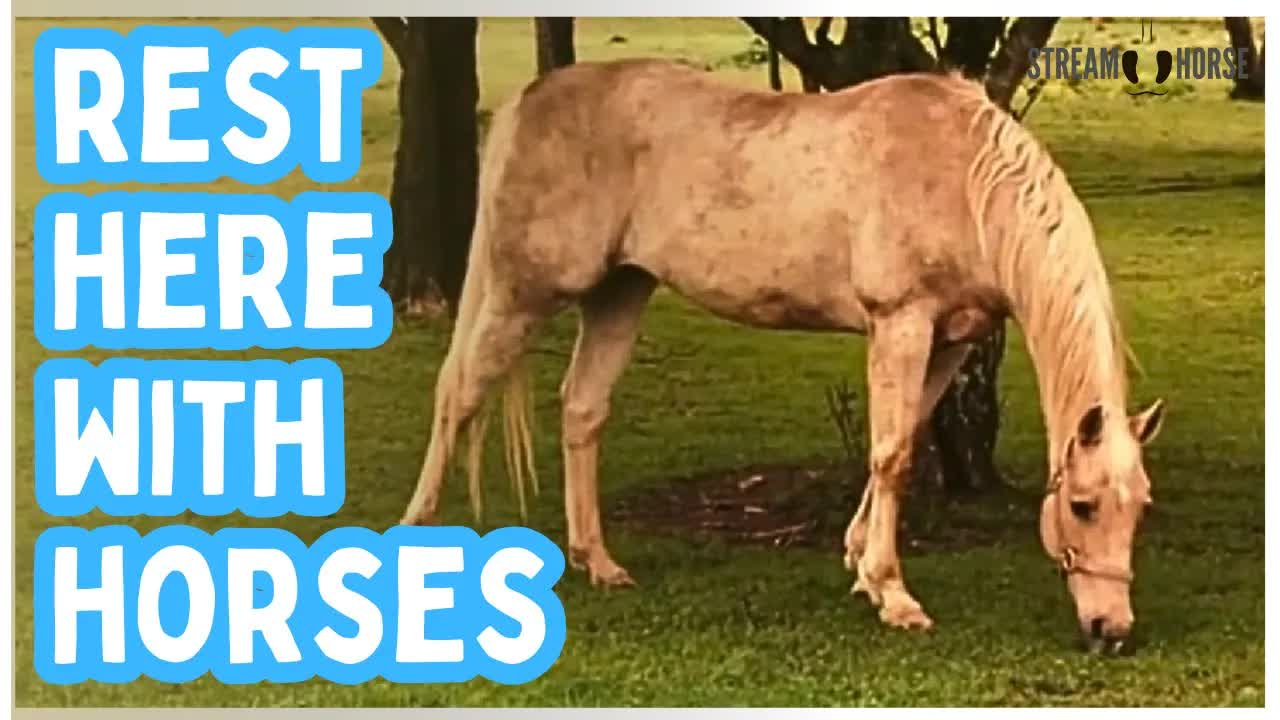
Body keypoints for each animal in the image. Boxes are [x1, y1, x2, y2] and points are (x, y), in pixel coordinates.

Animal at [398, 59, 1165, 654]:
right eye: (1083, 506)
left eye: (1141, 509)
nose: (1112, 630)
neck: (964, 181)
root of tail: (530, 98)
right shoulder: (902, 323)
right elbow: (893, 454)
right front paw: (893, 594)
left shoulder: (951, 341)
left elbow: (904, 439)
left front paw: (859, 562)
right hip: (524, 291)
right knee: (457, 393)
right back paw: (415, 534)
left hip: (619, 292)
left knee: (582, 410)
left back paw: (600, 563)